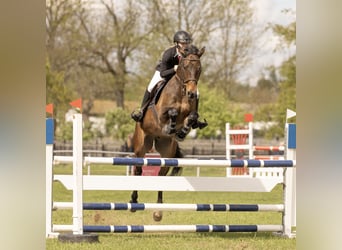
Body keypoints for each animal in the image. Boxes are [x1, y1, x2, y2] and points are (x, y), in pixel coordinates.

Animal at [131, 45, 206, 221]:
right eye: (184, 66)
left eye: (199, 68)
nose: (192, 93)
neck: (182, 91)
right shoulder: (161, 113)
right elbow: (171, 112)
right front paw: (171, 127)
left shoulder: (191, 112)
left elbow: (192, 117)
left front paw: (182, 131)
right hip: (141, 146)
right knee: (137, 170)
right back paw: (134, 201)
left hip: (167, 152)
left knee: (161, 175)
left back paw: (158, 211)